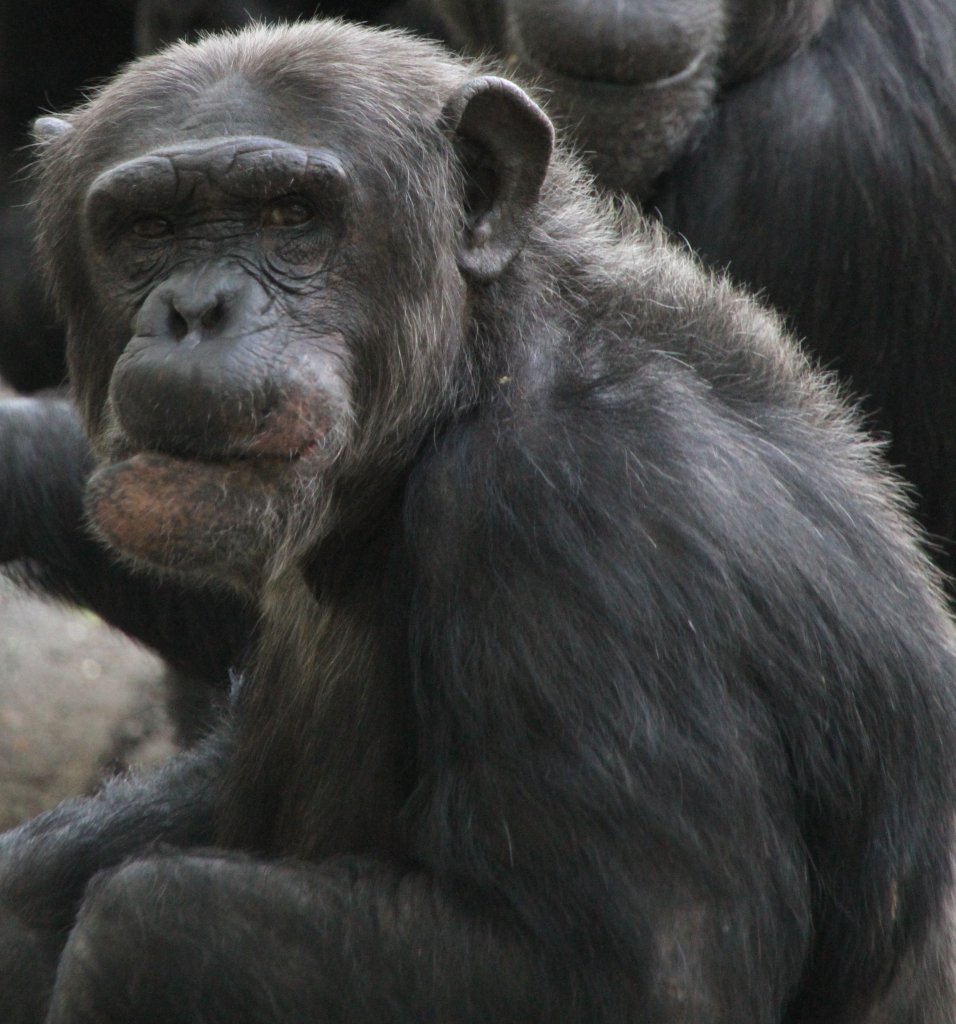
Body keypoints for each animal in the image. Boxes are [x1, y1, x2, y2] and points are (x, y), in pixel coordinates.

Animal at [1, 18, 956, 1024]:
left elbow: (629, 971)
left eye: (289, 215)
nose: (197, 311)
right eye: (147, 229)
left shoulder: (572, 520)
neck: (474, 368)